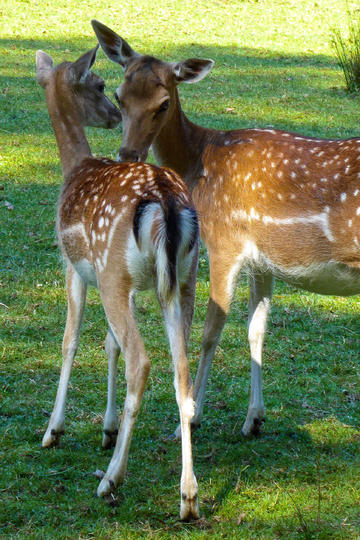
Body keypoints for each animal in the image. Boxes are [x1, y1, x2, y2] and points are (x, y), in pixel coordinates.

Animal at [36, 46, 200, 520]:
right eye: (102, 87)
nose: (111, 118)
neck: (73, 167)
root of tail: (166, 202)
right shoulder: (123, 284)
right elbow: (108, 343)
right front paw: (106, 430)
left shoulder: (75, 266)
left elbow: (70, 340)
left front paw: (53, 431)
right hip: (179, 280)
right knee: (181, 370)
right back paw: (188, 497)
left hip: (113, 274)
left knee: (141, 362)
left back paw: (111, 480)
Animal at [93, 19, 360, 436]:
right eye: (118, 96)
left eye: (164, 103)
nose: (129, 155)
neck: (200, 163)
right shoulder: (263, 261)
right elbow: (256, 328)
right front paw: (254, 418)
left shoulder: (224, 242)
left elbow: (210, 330)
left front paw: (189, 418)